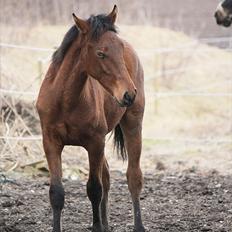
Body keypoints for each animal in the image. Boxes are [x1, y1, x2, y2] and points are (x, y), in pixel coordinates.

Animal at [36, 4, 145, 232]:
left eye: (119, 49)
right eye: (100, 53)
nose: (129, 94)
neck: (65, 101)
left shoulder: (94, 143)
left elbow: (94, 189)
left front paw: (97, 226)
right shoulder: (51, 142)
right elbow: (57, 193)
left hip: (133, 124)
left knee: (133, 178)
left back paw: (137, 226)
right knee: (107, 176)